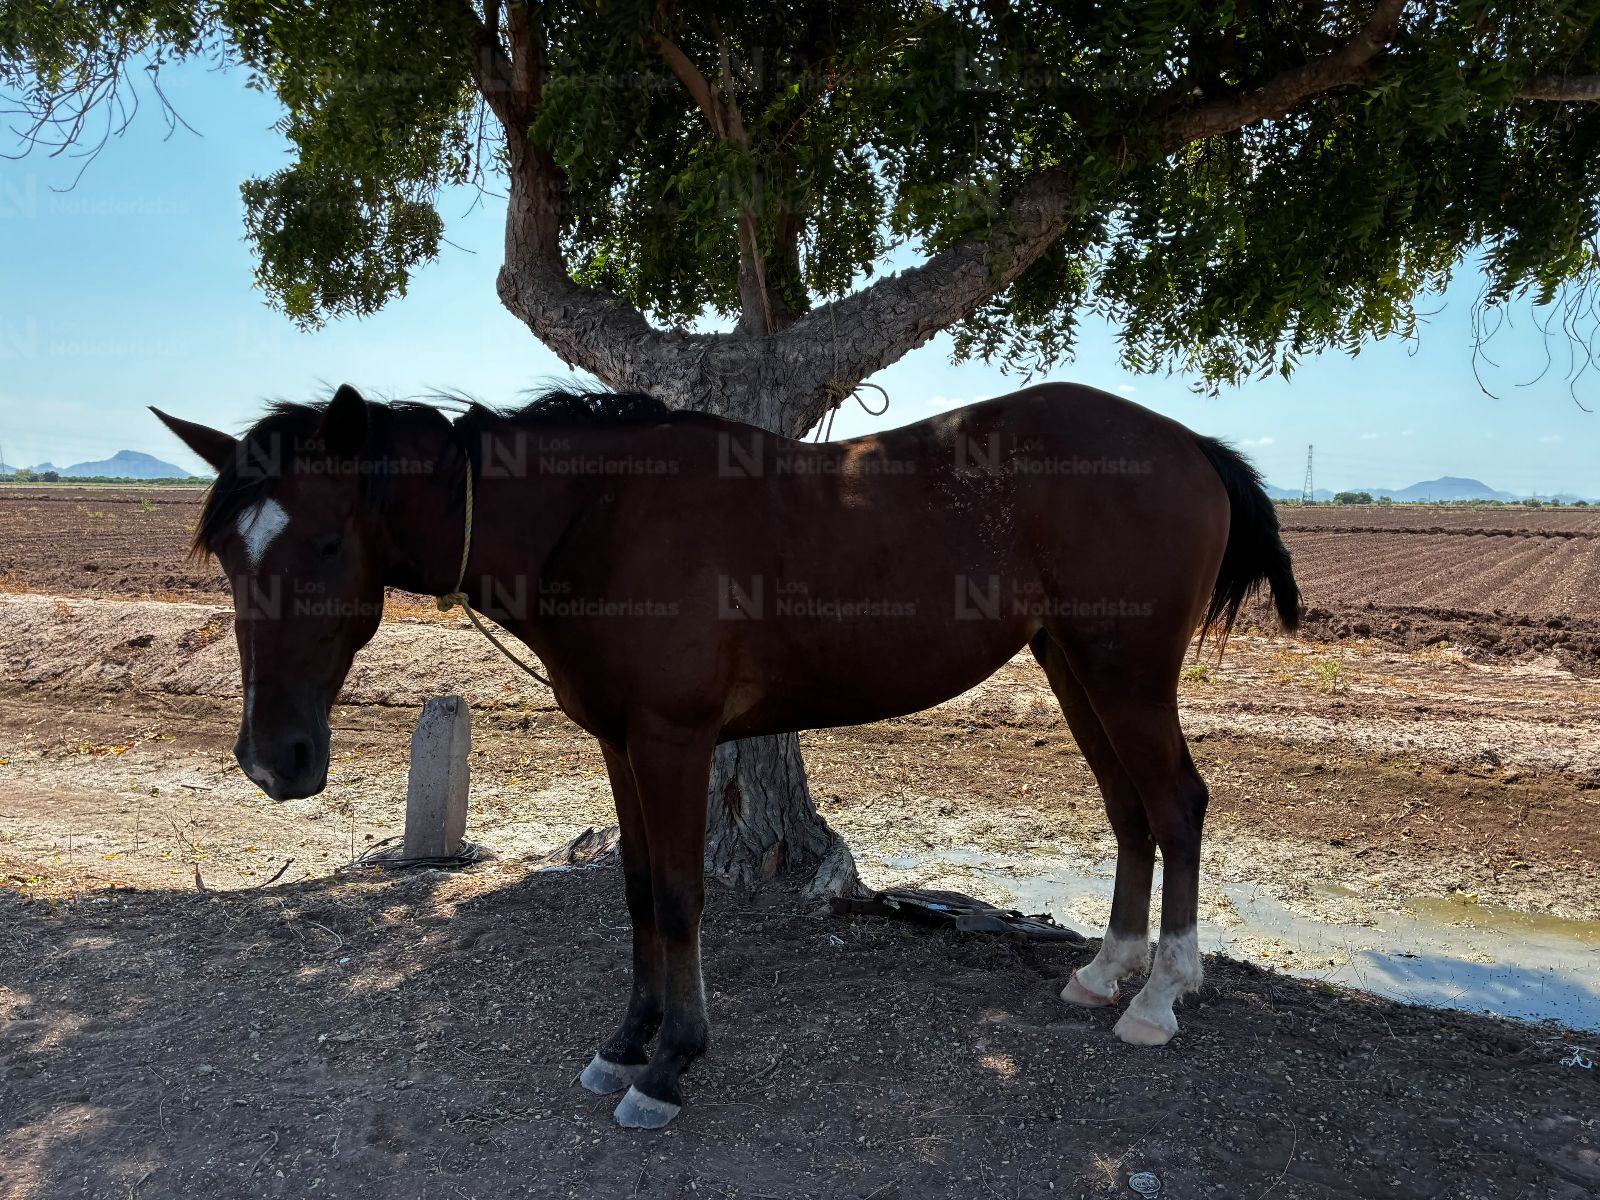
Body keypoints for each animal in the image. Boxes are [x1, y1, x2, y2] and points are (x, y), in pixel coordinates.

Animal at [153, 381, 1299, 1129]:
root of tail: (1186, 444)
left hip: (1125, 675)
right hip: (1073, 666)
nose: (274, 759)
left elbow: (680, 896)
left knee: (1177, 804)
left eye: (327, 545)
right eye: (229, 559)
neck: (596, 517)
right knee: (1129, 810)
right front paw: (625, 1041)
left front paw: (670, 1065)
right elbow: (635, 887)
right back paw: (1107, 971)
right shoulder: (619, 741)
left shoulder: (674, 739)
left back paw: (1160, 995)